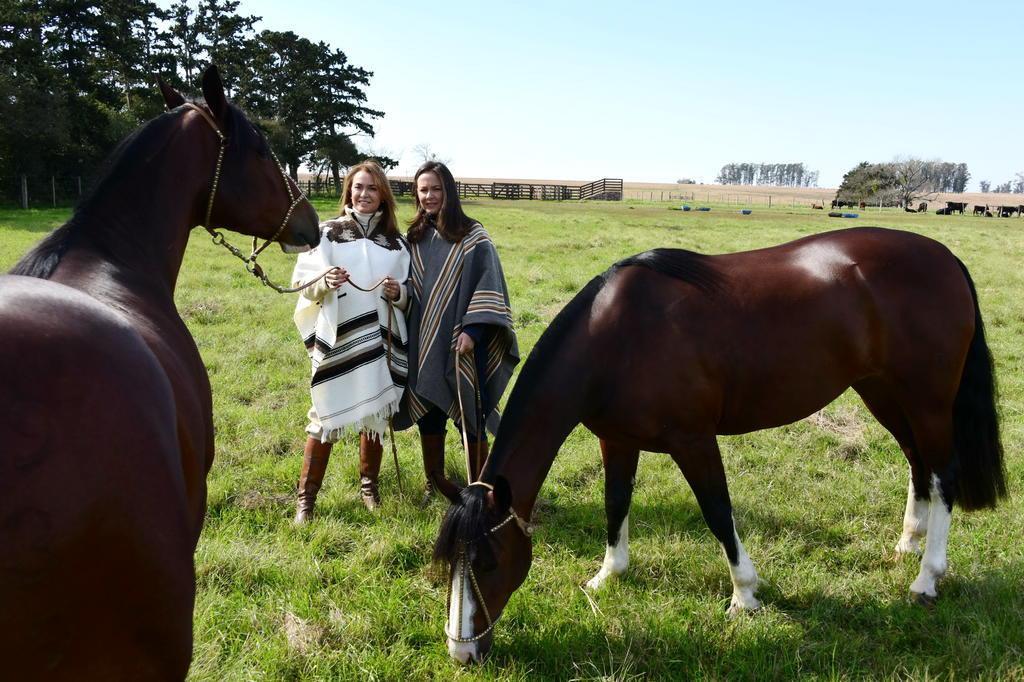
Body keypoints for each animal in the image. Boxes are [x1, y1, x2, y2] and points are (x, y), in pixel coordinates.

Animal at [430, 227, 999, 659]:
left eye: (488, 562)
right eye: (448, 563)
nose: (461, 653)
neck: (616, 336)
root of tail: (945, 256)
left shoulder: (694, 441)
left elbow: (718, 512)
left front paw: (744, 595)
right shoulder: (617, 441)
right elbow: (615, 504)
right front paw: (608, 575)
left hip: (926, 400)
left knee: (943, 474)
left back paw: (927, 578)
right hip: (883, 391)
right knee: (917, 463)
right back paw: (907, 543)